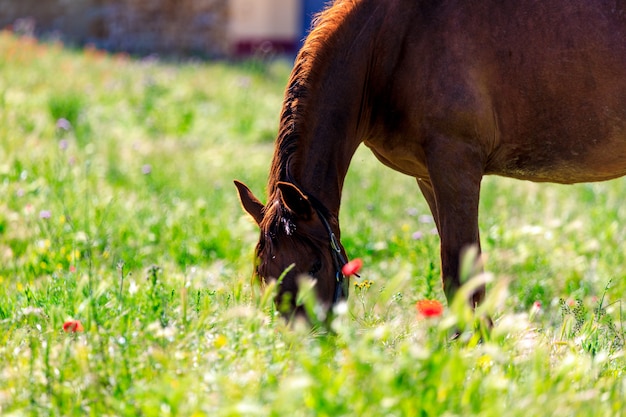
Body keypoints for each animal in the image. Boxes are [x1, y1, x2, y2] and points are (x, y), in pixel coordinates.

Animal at [234, 0, 624, 314]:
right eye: (264, 273)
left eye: (315, 265)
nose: (308, 339)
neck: (392, 41)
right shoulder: (428, 178)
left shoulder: (456, 167)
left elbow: (462, 272)